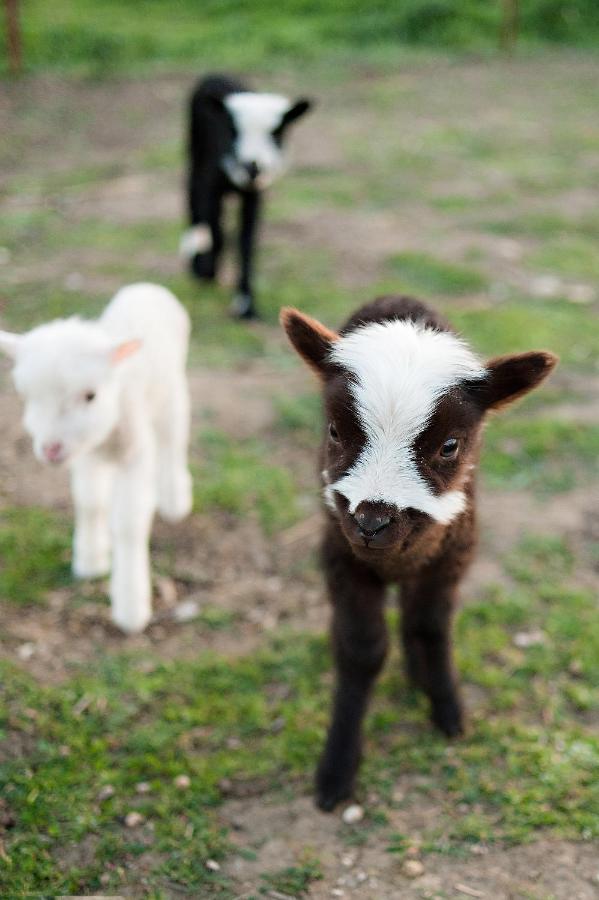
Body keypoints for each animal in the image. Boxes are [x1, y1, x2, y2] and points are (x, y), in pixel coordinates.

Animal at [0, 282, 192, 635]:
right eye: (27, 397)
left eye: (90, 396)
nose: (50, 449)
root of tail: (147, 286)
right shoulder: (85, 454)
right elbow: (89, 502)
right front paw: (90, 561)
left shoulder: (136, 451)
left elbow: (129, 523)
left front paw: (131, 608)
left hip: (172, 393)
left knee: (173, 441)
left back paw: (174, 501)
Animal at [181, 73, 313, 319]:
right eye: (233, 130)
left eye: (276, 132)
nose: (252, 167)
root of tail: (218, 73)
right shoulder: (210, 182)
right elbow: (213, 225)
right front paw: (205, 269)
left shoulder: (254, 193)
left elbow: (247, 241)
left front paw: (245, 305)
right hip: (195, 151)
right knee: (192, 196)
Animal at [281, 295, 558, 811]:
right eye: (334, 431)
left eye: (450, 446)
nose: (371, 523)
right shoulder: (341, 557)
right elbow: (361, 649)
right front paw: (336, 770)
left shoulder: (452, 553)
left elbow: (431, 627)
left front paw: (448, 711)